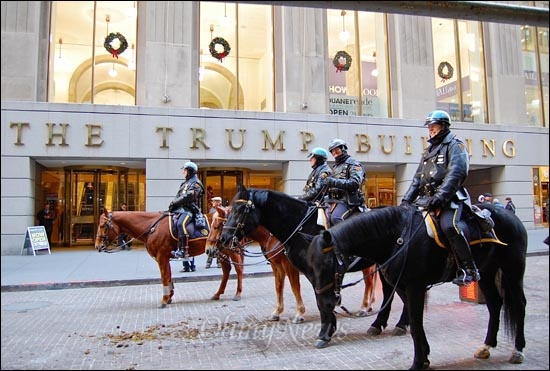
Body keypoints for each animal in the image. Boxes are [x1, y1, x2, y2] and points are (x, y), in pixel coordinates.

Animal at [218, 186, 412, 338]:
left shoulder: (299, 268)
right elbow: (280, 287)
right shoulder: (280, 266)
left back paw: (375, 312)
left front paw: (301, 315)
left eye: (239, 210)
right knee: (389, 290)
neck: (299, 226)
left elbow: (299, 289)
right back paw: (380, 321)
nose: (223, 239)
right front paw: (278, 312)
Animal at [308, 203, 528, 371]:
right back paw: (487, 346)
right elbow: (417, 323)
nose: (326, 304)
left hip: (513, 270)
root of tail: (511, 215)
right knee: (494, 304)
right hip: (487, 272)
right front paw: (425, 356)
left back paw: (517, 350)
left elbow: (415, 324)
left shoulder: (415, 287)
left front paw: (418, 362)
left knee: (519, 305)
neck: (397, 237)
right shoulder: (405, 286)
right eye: (312, 266)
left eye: (329, 264)